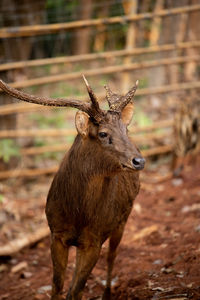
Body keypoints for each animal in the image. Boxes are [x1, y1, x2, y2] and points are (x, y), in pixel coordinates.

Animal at [0, 78, 145, 300]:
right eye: (103, 133)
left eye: (125, 130)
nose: (139, 160)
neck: (78, 215)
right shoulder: (57, 233)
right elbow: (58, 286)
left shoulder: (95, 239)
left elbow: (77, 289)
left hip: (123, 219)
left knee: (112, 256)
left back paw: (107, 293)